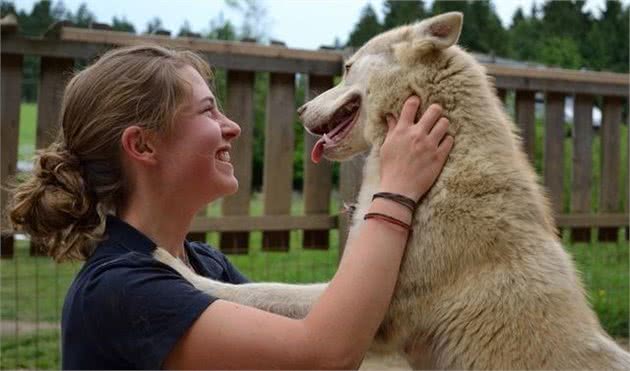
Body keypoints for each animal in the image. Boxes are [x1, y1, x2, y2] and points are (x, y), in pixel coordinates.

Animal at [154, 10, 630, 370]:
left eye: (347, 68)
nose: (302, 109)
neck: (440, 175)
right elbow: (262, 292)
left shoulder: (368, 315)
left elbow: (257, 292)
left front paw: (175, 268)